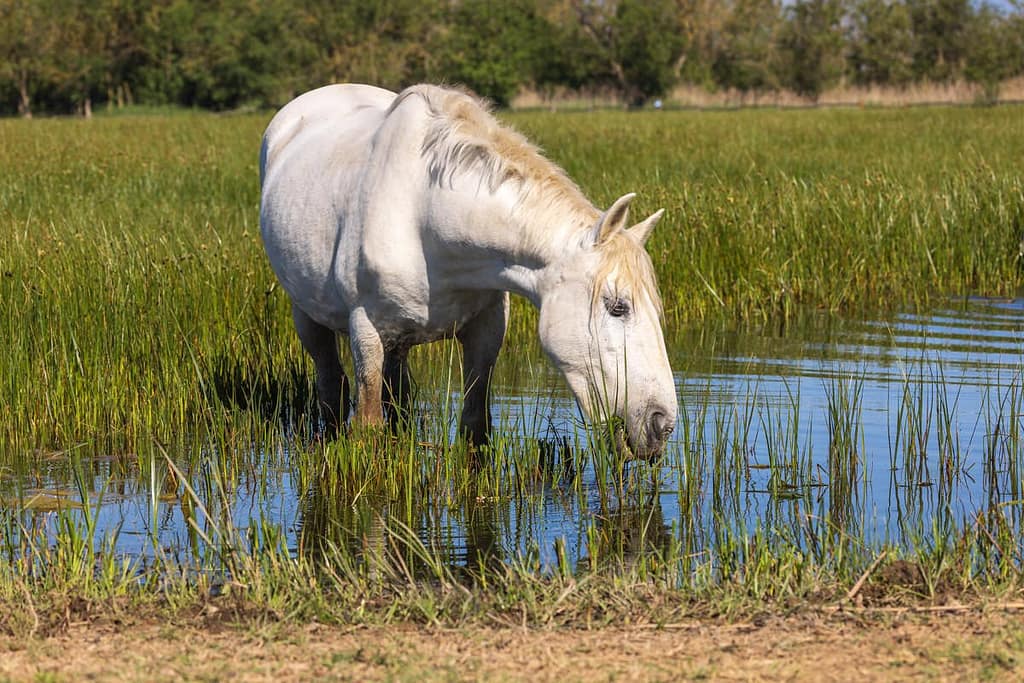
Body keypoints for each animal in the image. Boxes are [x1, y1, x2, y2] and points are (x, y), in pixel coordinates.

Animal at [259, 83, 677, 459]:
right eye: (617, 307)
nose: (661, 424)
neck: (427, 218)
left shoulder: (487, 327)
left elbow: (475, 425)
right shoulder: (368, 329)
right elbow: (367, 428)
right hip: (308, 315)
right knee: (331, 384)